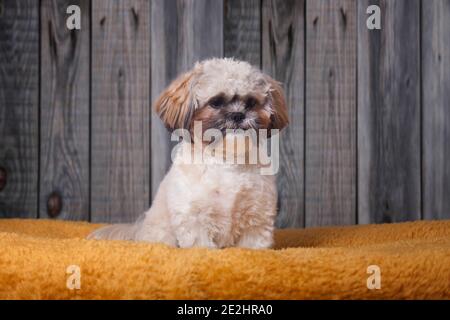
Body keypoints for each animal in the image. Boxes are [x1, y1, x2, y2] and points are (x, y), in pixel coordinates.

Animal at [88, 58, 288, 250]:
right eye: (216, 102)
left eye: (251, 102)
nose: (238, 114)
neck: (226, 160)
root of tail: (139, 229)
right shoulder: (194, 219)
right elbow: (201, 247)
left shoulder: (256, 220)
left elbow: (250, 248)